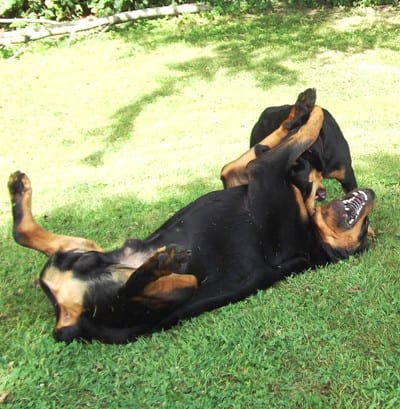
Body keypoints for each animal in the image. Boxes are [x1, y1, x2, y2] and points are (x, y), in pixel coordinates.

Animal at [7, 94, 376, 342]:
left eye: (364, 234)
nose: (371, 196)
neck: (310, 236)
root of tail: (68, 316)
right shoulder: (239, 174)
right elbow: (279, 143)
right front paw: (301, 110)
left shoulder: (262, 172)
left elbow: (301, 136)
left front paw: (312, 114)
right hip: (85, 249)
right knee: (23, 233)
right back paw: (18, 189)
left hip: (173, 292)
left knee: (130, 288)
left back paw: (159, 262)